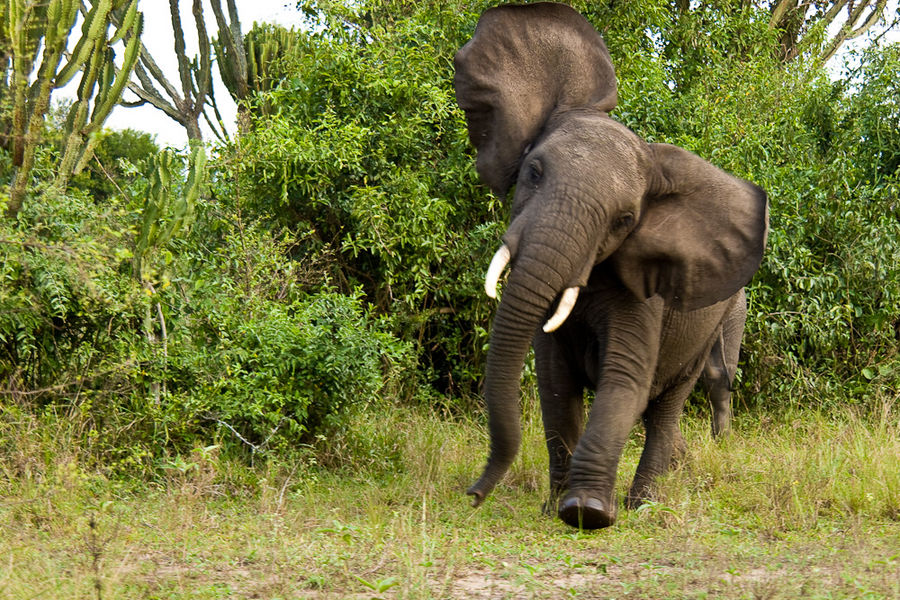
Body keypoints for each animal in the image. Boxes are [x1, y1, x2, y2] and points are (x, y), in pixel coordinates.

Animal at [454, 4, 768, 528]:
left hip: (716, 321)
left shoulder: (646, 295)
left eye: (624, 221)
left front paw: (587, 513)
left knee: (671, 404)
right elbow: (555, 386)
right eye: (533, 172)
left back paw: (644, 504)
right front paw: (552, 508)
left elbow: (623, 382)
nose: (474, 495)